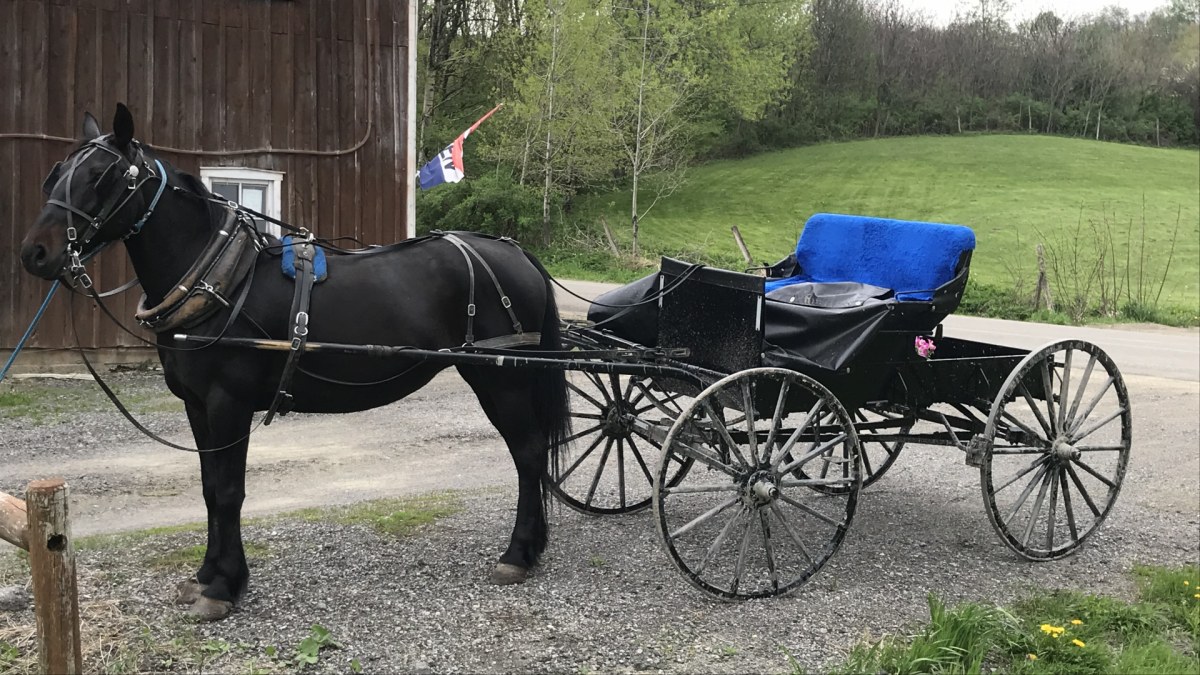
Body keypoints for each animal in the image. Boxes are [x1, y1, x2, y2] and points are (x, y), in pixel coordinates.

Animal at [18, 103, 571, 619]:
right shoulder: (197, 405)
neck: (220, 281)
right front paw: (206, 575)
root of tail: (516, 254)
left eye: (102, 175)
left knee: (527, 453)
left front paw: (224, 586)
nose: (35, 253)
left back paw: (518, 554)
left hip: (501, 381)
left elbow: (228, 491)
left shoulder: (228, 403)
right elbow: (208, 488)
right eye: (53, 174)